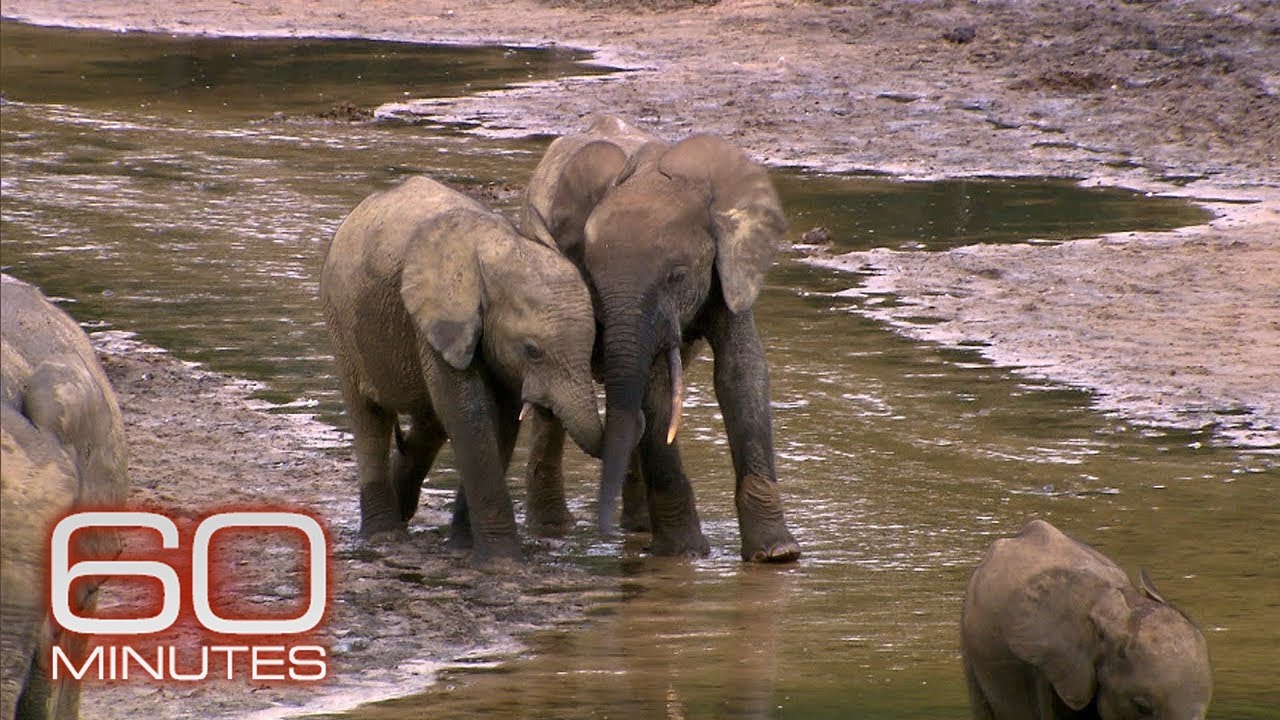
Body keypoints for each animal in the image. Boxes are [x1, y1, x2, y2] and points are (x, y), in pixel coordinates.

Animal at [319, 176, 604, 565]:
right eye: (532, 352)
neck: (500, 248)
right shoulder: (438, 322)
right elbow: (470, 415)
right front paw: (503, 563)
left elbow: (500, 422)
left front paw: (464, 548)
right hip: (342, 325)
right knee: (370, 420)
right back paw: (384, 537)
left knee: (428, 425)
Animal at [520, 115, 800, 562]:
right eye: (591, 279)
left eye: (677, 276)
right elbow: (655, 389)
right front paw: (686, 555)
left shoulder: (731, 272)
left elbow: (742, 374)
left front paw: (776, 555)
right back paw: (552, 530)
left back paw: (636, 529)